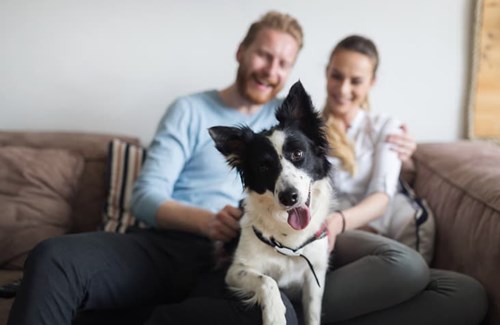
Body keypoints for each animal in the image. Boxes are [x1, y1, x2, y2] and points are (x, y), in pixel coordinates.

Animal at [209, 81, 334, 324]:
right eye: (263, 166)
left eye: (298, 154)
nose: (289, 197)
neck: (289, 239)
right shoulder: (235, 271)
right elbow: (268, 281)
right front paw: (275, 315)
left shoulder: (315, 276)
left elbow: (313, 313)